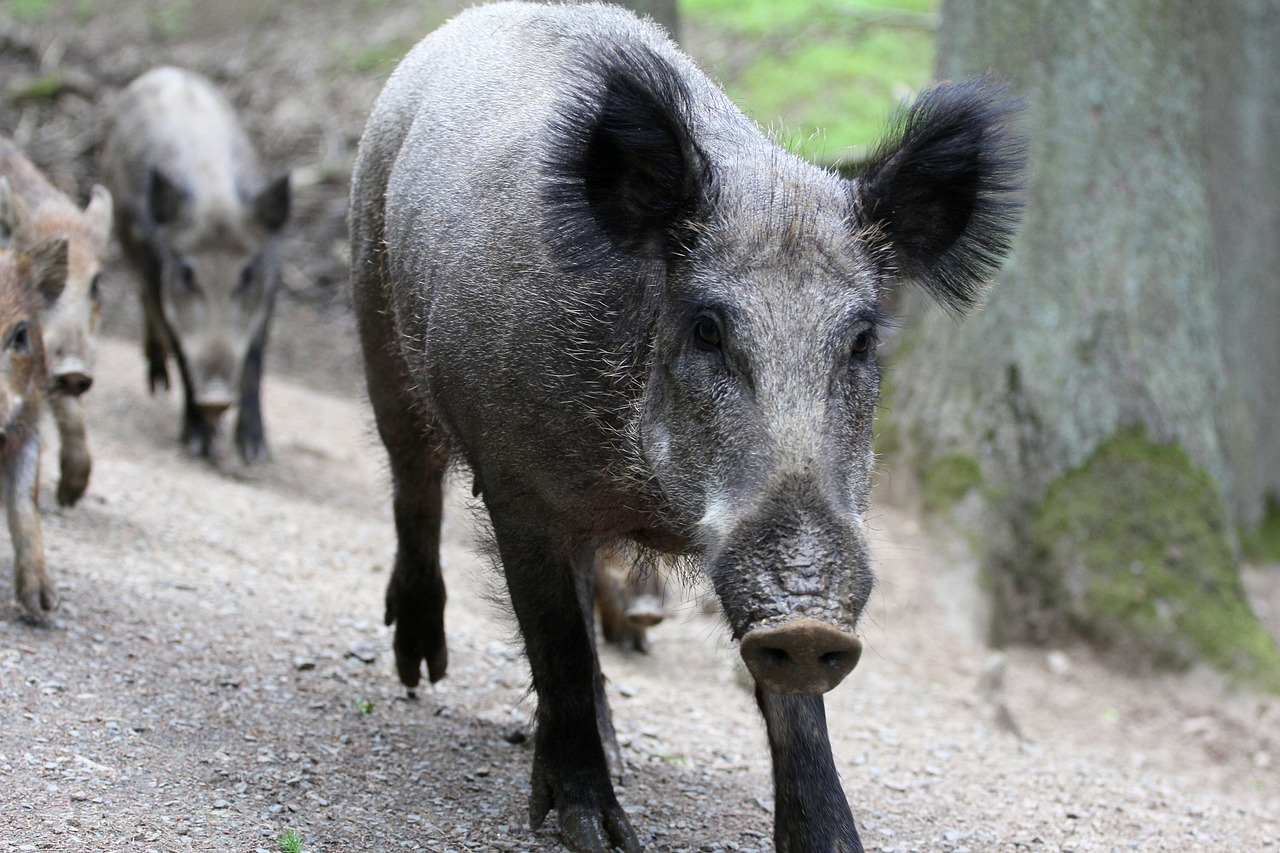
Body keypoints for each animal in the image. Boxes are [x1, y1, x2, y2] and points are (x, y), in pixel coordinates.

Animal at [98, 66, 290, 462]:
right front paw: (198, 445)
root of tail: (164, 72)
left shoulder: (270, 284)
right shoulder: (159, 274)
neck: (214, 198)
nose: (215, 398)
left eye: (247, 273)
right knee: (145, 303)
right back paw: (159, 387)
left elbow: (254, 357)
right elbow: (181, 348)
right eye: (187, 272)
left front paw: (254, 455)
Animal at [349, 3, 1024, 851]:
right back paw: (420, 673)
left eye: (863, 339)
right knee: (413, 480)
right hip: (373, 311)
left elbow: (795, 707)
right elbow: (555, 639)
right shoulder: (516, 481)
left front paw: (832, 842)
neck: (648, 500)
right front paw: (597, 834)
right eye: (707, 328)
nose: (809, 621)